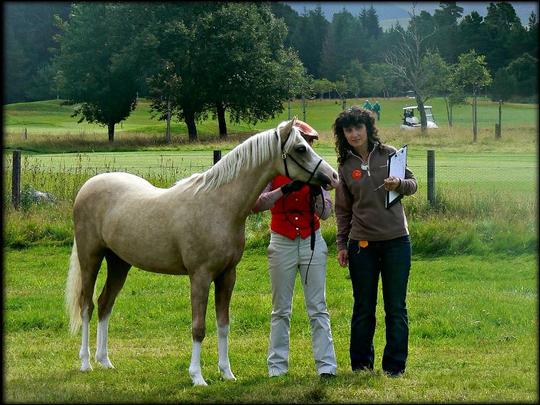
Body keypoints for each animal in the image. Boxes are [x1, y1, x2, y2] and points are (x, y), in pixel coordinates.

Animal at [65, 117, 338, 386]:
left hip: (119, 262)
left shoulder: (227, 275)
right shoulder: (200, 276)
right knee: (87, 306)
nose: (332, 176)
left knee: (105, 304)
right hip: (91, 258)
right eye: (300, 148)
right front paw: (197, 376)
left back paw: (105, 360)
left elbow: (223, 324)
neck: (219, 205)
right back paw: (86, 362)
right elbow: (199, 327)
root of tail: (87, 187)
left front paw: (227, 373)